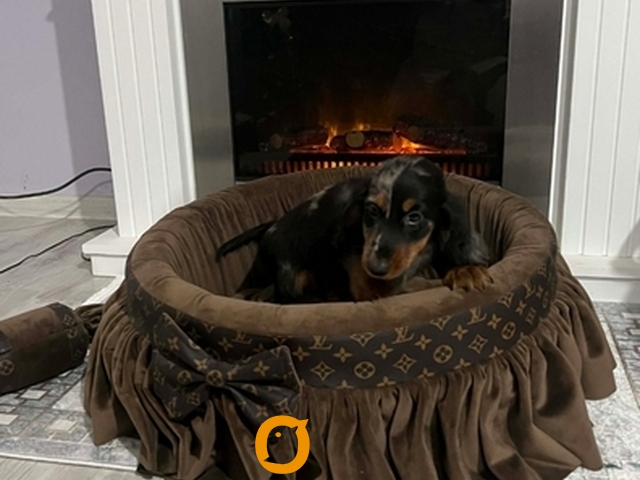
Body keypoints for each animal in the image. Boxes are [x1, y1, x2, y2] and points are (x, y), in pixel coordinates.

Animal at [216, 156, 492, 303]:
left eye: (414, 217)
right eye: (372, 211)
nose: (376, 268)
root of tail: (272, 226)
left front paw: (465, 270)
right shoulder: (373, 287)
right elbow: (419, 286)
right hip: (292, 277)